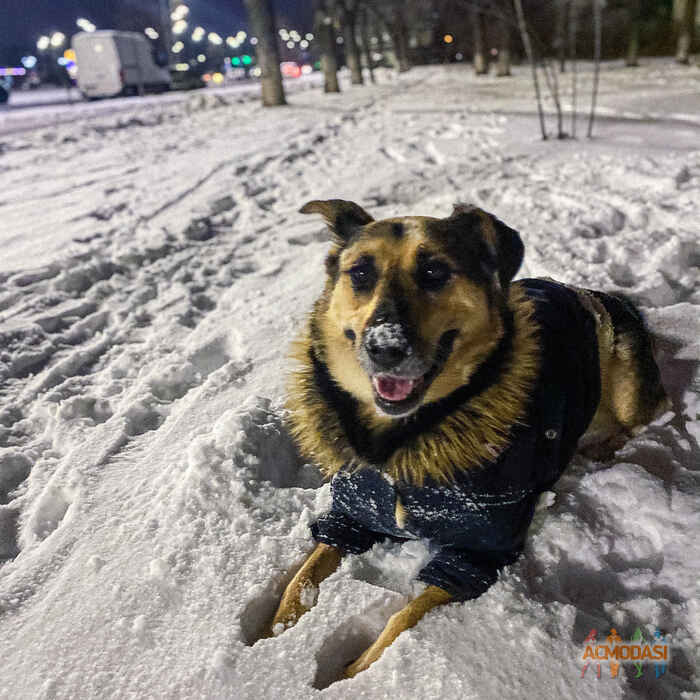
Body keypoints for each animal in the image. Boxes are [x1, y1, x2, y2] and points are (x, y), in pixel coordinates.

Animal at [262, 197, 668, 680]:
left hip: (624, 375)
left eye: (435, 271)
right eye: (359, 272)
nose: (384, 348)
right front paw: (273, 637)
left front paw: (352, 672)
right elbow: (301, 576)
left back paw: (600, 446)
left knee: (641, 416)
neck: (399, 447)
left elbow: (404, 616)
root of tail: (599, 294)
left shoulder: (479, 554)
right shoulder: (350, 516)